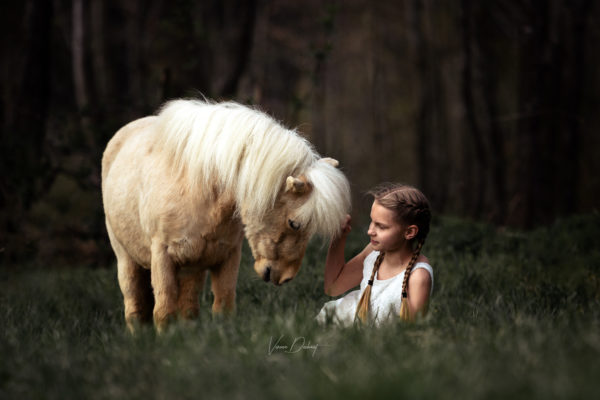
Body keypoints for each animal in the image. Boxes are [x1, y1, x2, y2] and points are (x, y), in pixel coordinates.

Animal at [101, 100, 350, 332]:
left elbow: (223, 306)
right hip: (126, 259)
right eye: (294, 223)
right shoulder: (162, 256)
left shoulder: (227, 256)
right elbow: (163, 311)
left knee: (188, 308)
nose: (285, 277)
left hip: (191, 269)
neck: (201, 187)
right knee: (134, 307)